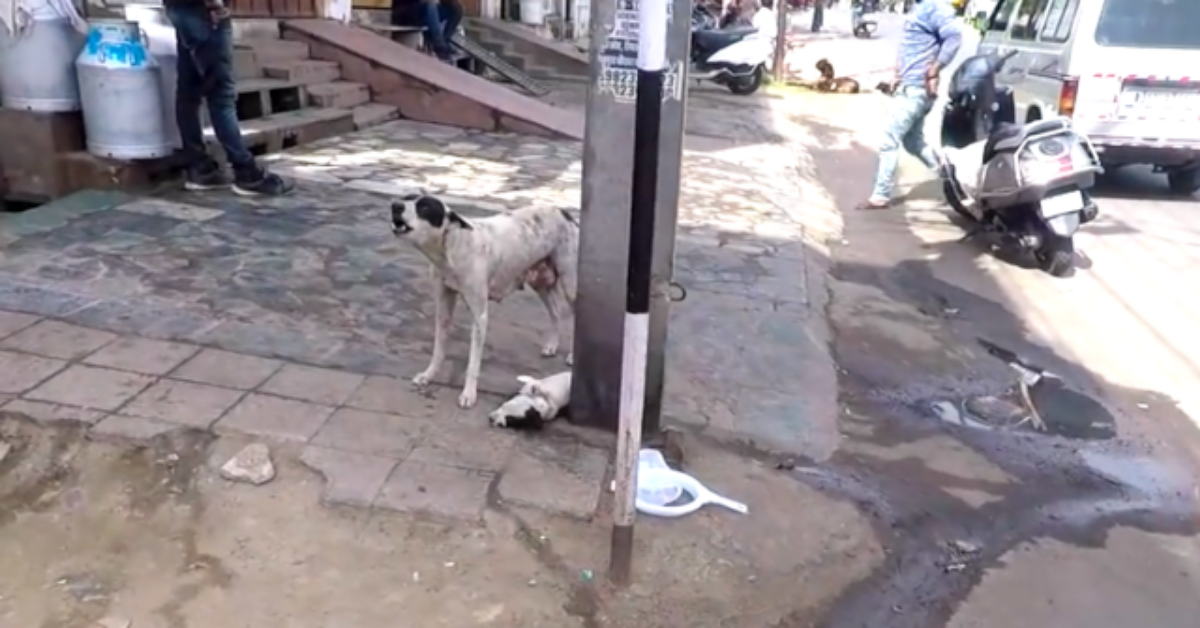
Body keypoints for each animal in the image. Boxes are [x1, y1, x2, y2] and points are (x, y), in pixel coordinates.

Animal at [388, 193, 576, 408]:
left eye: (425, 207)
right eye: (406, 198)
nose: (395, 205)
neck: (453, 246)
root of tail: (562, 211)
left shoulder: (480, 317)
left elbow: (473, 363)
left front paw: (468, 394)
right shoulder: (443, 307)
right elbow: (438, 349)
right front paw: (429, 375)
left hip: (571, 284)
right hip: (540, 283)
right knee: (556, 312)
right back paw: (552, 345)